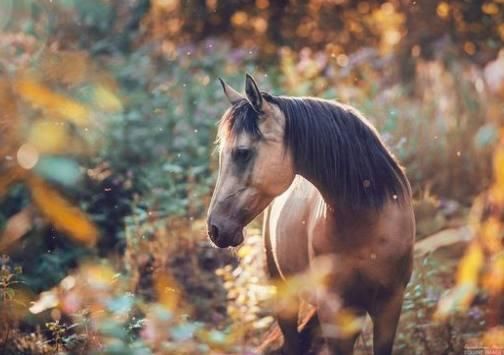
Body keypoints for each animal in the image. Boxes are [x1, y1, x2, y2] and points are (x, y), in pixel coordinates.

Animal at [207, 73, 416, 354]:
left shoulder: (389, 306)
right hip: (285, 296)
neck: (366, 221)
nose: (214, 229)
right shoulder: (334, 313)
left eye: (242, 152)